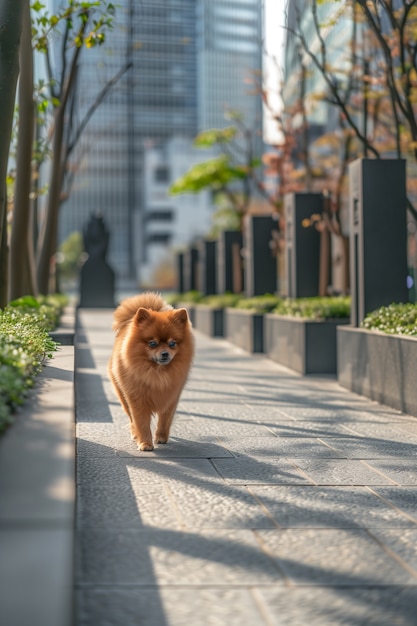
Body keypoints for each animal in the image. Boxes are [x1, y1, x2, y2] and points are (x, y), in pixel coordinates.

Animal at [106, 292, 193, 448]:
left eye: (172, 343)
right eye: (152, 343)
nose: (165, 353)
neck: (157, 372)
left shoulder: (171, 398)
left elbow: (165, 420)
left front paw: (161, 437)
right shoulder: (137, 399)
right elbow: (141, 422)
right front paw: (145, 443)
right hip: (122, 395)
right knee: (131, 418)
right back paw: (135, 434)